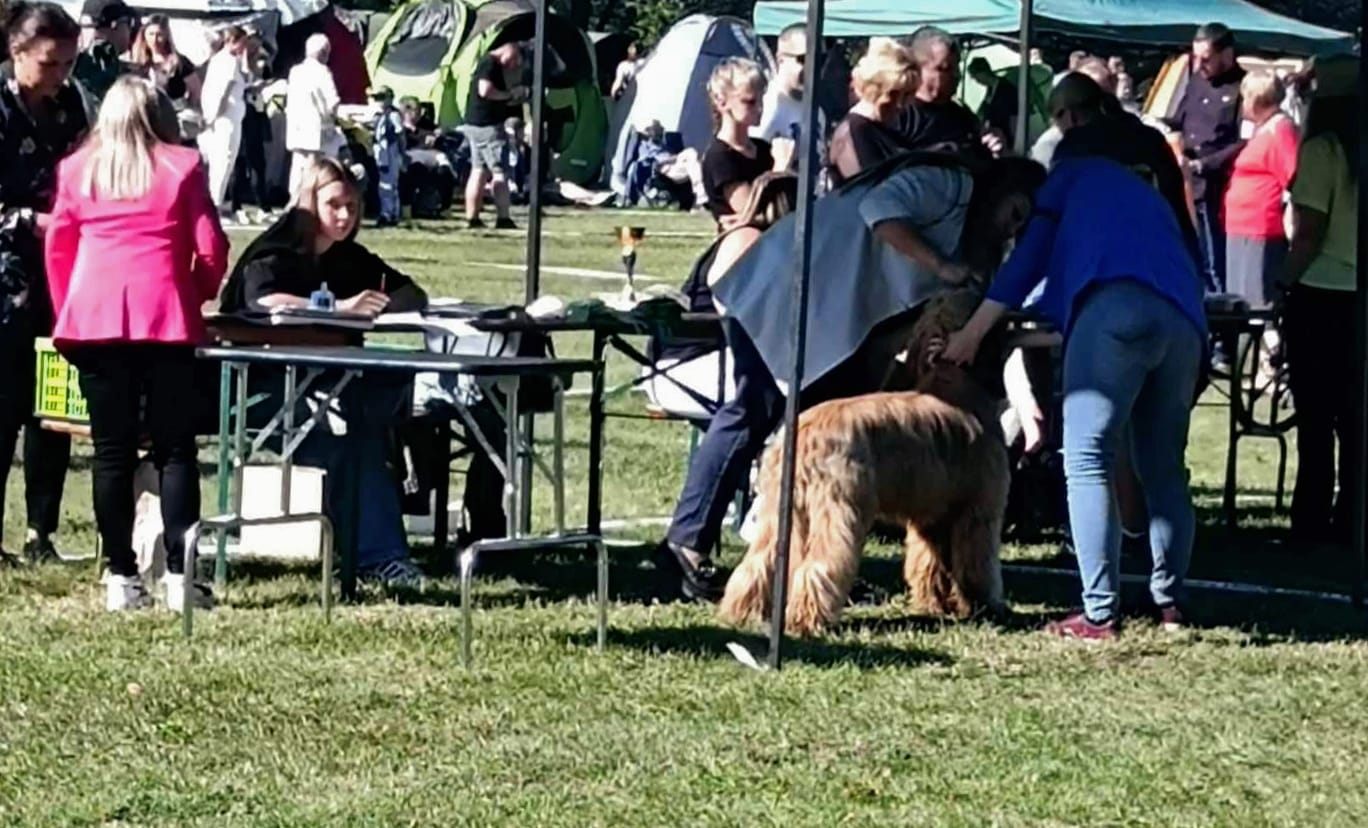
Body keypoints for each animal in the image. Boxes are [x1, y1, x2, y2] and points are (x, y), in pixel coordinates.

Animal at [718, 289, 1010, 636]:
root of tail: (801, 436)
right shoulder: (979, 509)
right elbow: (977, 560)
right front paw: (986, 604)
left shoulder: (930, 514)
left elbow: (929, 562)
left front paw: (936, 603)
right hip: (839, 509)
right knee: (820, 565)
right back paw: (807, 620)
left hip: (781, 511)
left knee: (759, 561)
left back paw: (742, 612)